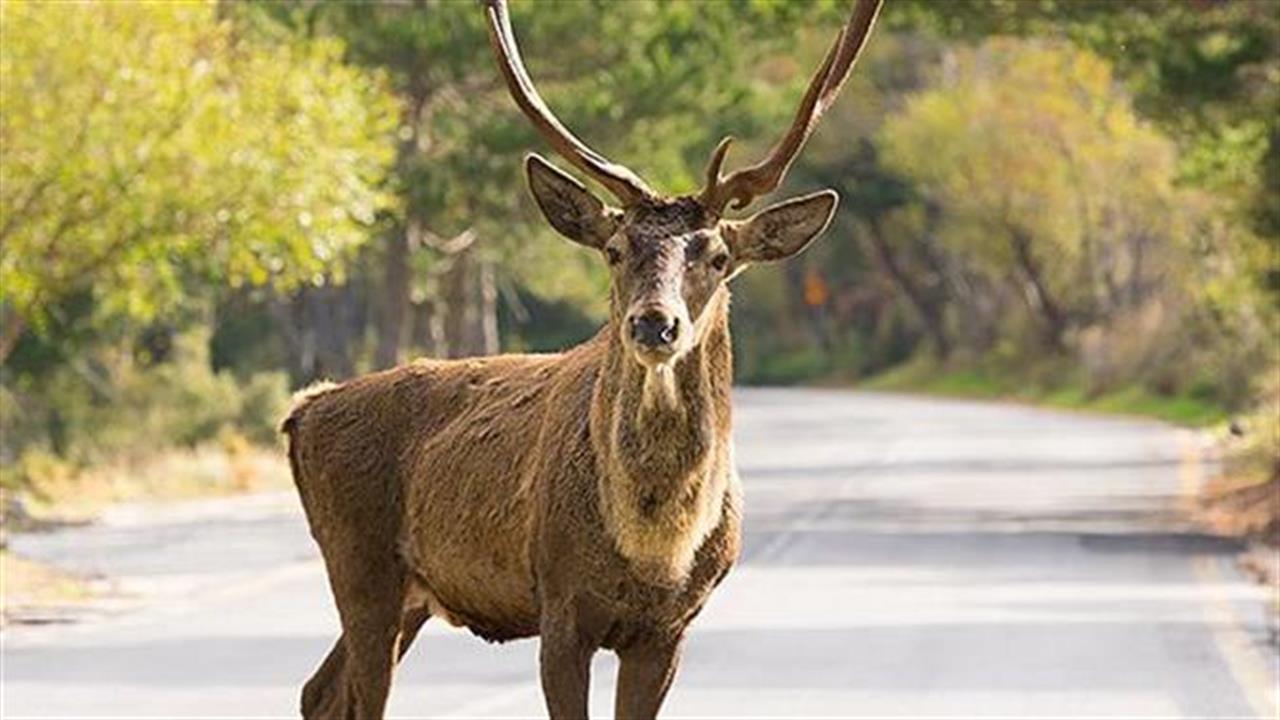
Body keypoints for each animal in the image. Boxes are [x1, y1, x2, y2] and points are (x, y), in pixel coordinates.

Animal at [280, 0, 880, 712]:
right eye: (615, 250)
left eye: (717, 257)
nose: (654, 323)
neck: (655, 551)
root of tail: (301, 413)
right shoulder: (562, 609)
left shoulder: (669, 629)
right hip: (359, 563)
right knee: (352, 693)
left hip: (412, 596)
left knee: (320, 690)